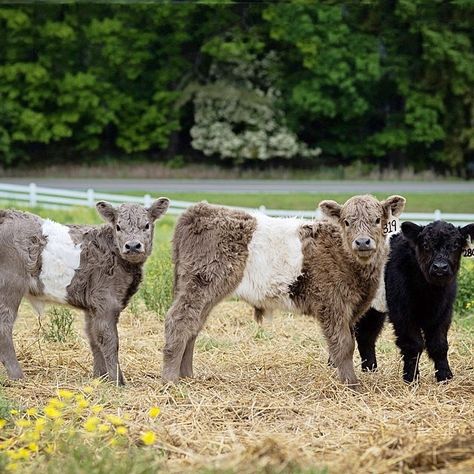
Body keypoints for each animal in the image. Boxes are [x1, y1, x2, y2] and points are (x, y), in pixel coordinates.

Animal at [162, 194, 404, 386]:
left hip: (203, 291)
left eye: (377, 220)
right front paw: (352, 384)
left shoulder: (352, 309)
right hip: (201, 284)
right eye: (346, 222)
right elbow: (344, 345)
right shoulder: (332, 304)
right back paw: (171, 379)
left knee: (193, 326)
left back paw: (187, 375)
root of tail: (199, 209)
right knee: (179, 321)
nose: (362, 242)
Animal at [356, 220, 474, 384]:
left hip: (373, 310)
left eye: (456, 244)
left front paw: (445, 376)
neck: (431, 294)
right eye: (425, 244)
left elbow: (439, 344)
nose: (440, 267)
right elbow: (414, 344)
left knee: (366, 336)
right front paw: (411, 378)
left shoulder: (444, 313)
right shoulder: (403, 314)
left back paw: (370, 369)